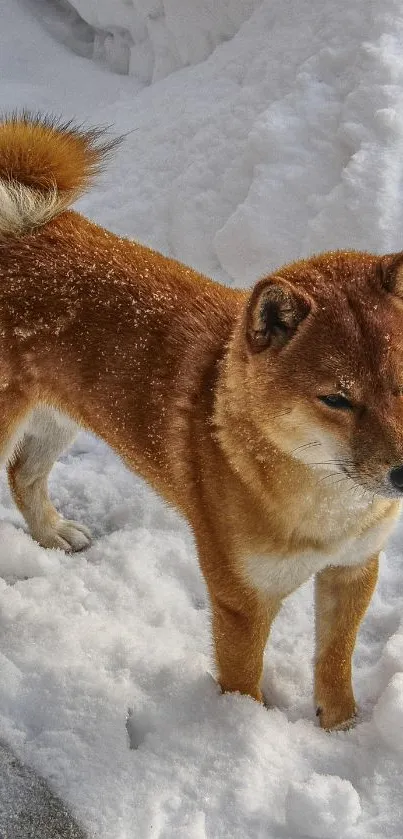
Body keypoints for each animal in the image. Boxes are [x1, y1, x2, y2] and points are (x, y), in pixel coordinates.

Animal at [0, 115, 403, 732]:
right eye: (336, 399)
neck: (324, 503)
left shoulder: (353, 568)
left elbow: (334, 664)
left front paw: (341, 727)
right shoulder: (242, 597)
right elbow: (243, 681)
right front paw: (238, 731)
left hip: (56, 416)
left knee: (24, 474)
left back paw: (53, 533)